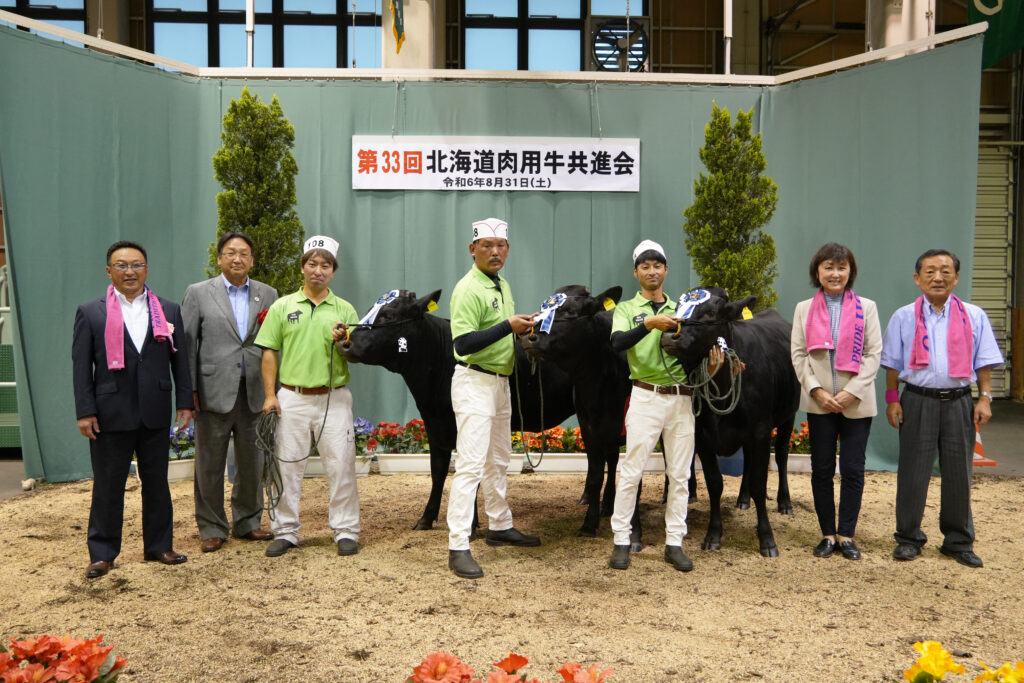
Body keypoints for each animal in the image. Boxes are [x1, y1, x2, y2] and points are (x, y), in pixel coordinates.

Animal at [342, 286, 577, 528]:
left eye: (388, 315)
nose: (346, 343)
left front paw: (471, 524)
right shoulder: (433, 423)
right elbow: (438, 471)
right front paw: (426, 519)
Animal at [659, 286, 802, 557]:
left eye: (710, 313)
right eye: (677, 308)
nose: (670, 335)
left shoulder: (761, 431)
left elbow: (760, 484)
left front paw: (767, 539)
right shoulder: (703, 435)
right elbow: (715, 484)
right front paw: (713, 535)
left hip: (789, 415)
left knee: (781, 456)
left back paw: (785, 502)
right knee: (748, 461)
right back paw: (743, 499)